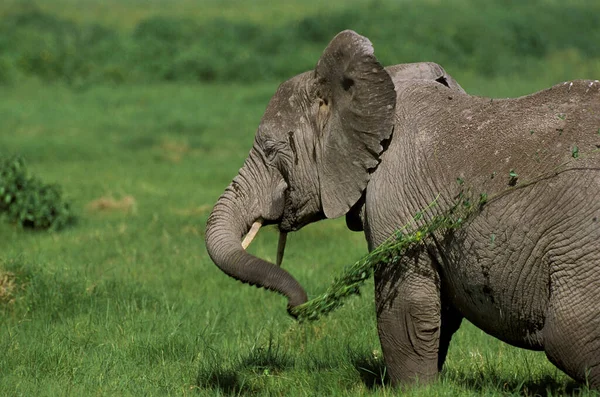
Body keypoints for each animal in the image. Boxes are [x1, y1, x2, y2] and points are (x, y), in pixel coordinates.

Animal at [204, 30, 596, 386]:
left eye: (271, 150)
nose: (297, 307)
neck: (383, 87)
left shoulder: (396, 196)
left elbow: (406, 307)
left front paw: (414, 389)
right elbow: (441, 311)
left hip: (579, 248)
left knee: (569, 338)